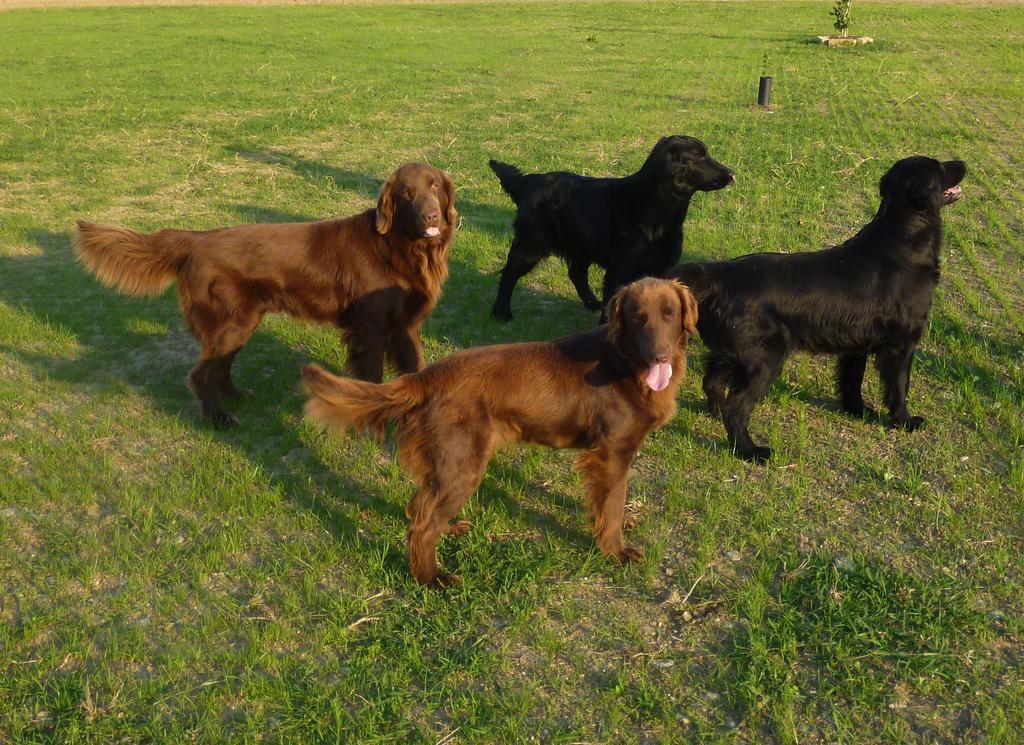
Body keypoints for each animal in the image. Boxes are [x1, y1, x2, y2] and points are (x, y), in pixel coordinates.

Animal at [73, 162, 456, 425]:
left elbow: (415, 368)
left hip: (241, 323)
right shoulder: (370, 329)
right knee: (202, 374)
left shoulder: (406, 327)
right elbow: (373, 378)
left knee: (220, 365)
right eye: (406, 194)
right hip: (231, 322)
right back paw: (219, 419)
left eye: (434, 186)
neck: (402, 245)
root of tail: (195, 239)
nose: (431, 216)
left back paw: (236, 397)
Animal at [301, 276, 696, 585]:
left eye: (670, 314)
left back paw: (449, 530)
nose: (659, 356)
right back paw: (432, 579)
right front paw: (616, 551)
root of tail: (424, 377)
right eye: (637, 317)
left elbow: (607, 502)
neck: (626, 365)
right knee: (421, 526)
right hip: (463, 464)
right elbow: (612, 503)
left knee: (420, 507)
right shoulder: (612, 451)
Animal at [489, 135, 737, 321]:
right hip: (531, 244)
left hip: (581, 247)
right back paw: (501, 312)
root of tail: (529, 181)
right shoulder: (620, 270)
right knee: (509, 273)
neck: (653, 207)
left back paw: (591, 302)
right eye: (701, 157)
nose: (731, 173)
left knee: (576, 273)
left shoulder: (660, 268)